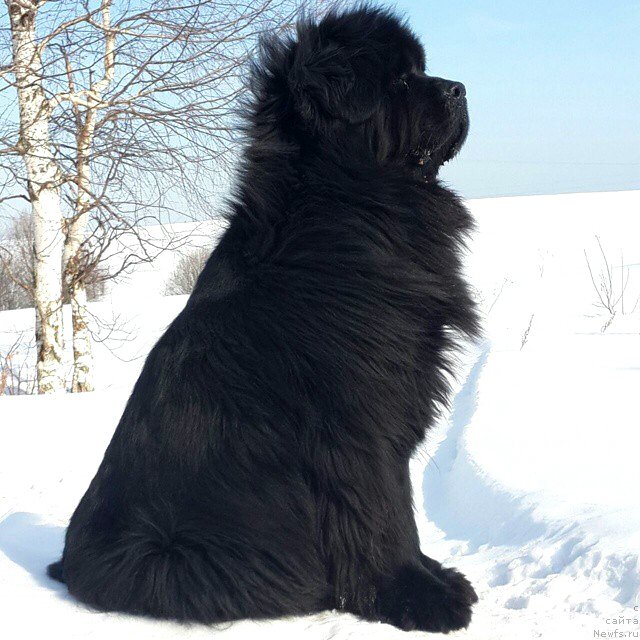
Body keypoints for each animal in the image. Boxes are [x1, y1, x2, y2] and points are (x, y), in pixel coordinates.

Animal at [50, 6, 480, 636]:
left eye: (422, 70)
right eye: (400, 80)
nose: (460, 88)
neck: (349, 205)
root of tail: (70, 564)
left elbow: (400, 502)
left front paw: (434, 575)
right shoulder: (359, 423)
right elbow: (389, 512)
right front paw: (419, 596)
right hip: (176, 555)